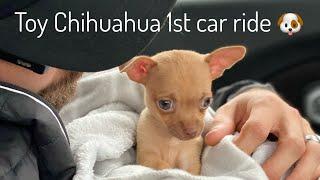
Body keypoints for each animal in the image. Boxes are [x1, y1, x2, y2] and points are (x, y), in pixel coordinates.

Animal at [121, 45, 246, 175]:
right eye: (164, 104)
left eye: (207, 102)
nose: (192, 132)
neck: (171, 140)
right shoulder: (147, 156)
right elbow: (163, 166)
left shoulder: (190, 159)